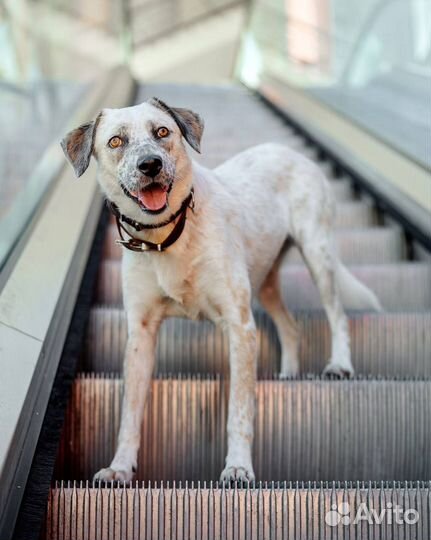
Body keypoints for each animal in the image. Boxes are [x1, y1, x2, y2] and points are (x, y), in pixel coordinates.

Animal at [60, 97, 382, 486]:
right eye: (116, 141)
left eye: (162, 131)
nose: (149, 164)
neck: (168, 237)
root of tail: (289, 150)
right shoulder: (140, 334)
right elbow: (129, 413)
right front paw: (120, 467)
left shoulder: (240, 327)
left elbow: (240, 409)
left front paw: (238, 467)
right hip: (265, 280)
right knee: (290, 326)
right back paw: (289, 373)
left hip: (317, 253)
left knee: (337, 315)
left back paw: (340, 364)